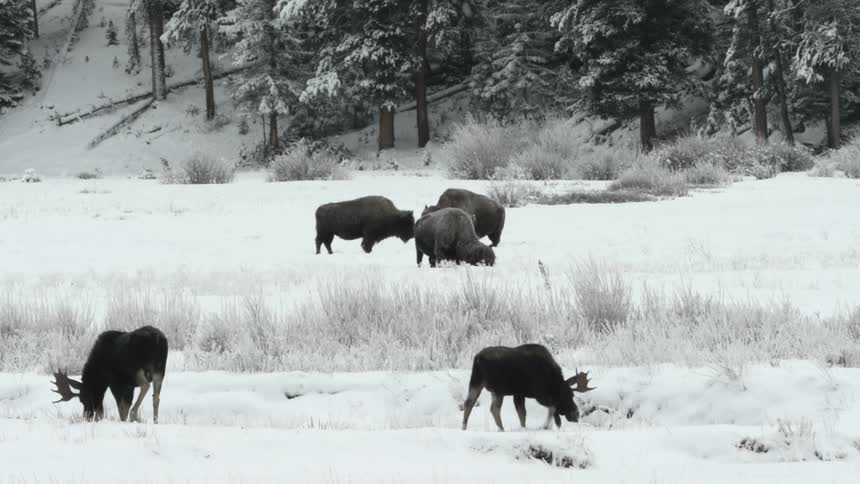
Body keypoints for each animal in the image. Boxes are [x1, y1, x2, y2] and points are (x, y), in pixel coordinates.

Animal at [461, 344, 596, 431]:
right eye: (569, 395)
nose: (576, 414)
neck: (552, 381)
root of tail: (478, 358)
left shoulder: (519, 394)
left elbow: (522, 414)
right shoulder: (538, 394)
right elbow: (551, 409)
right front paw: (548, 425)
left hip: (476, 382)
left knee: (469, 403)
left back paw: (464, 427)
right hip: (497, 388)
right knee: (494, 409)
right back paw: (501, 429)